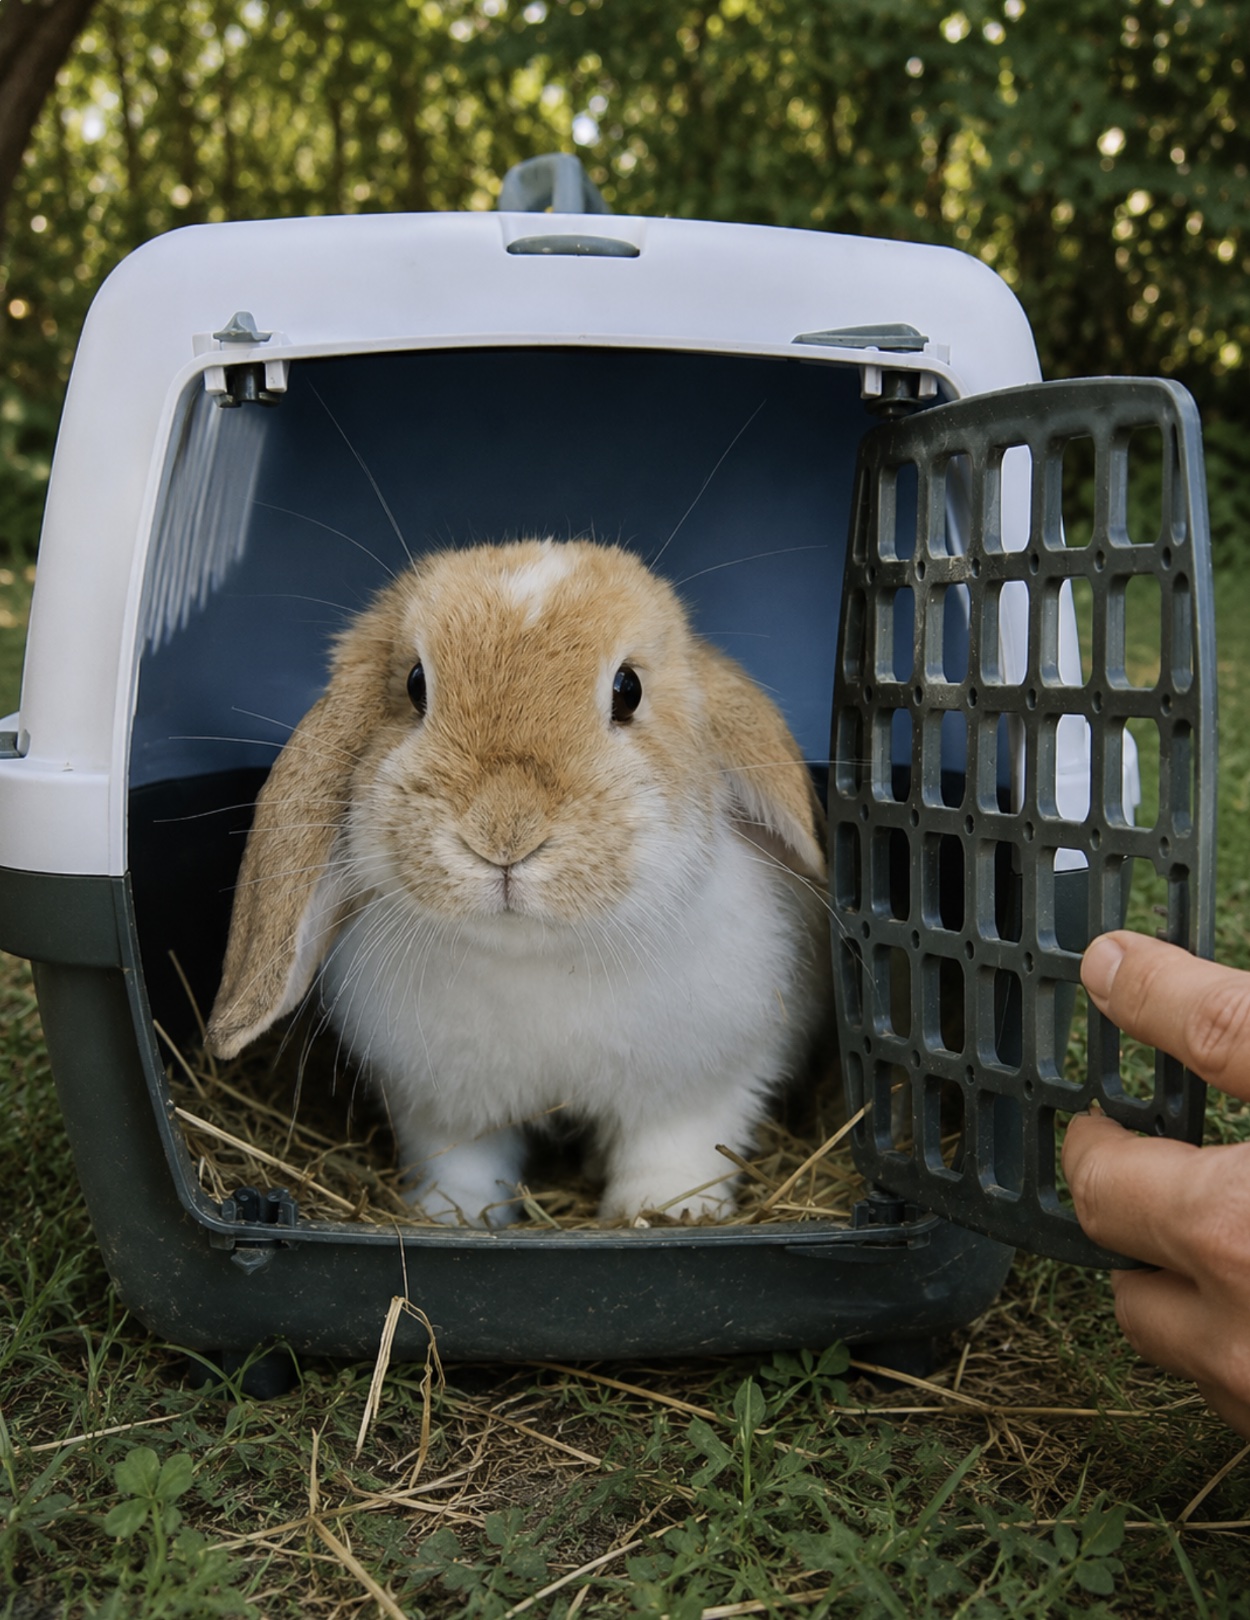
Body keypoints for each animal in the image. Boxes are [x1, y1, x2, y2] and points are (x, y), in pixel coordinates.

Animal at [207, 538, 833, 1226]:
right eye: (416, 684)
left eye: (629, 689)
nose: (504, 834)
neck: (536, 957)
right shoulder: (445, 1110)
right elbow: (464, 1165)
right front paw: (451, 1215)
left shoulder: (700, 1087)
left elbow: (676, 1153)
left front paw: (661, 1212)